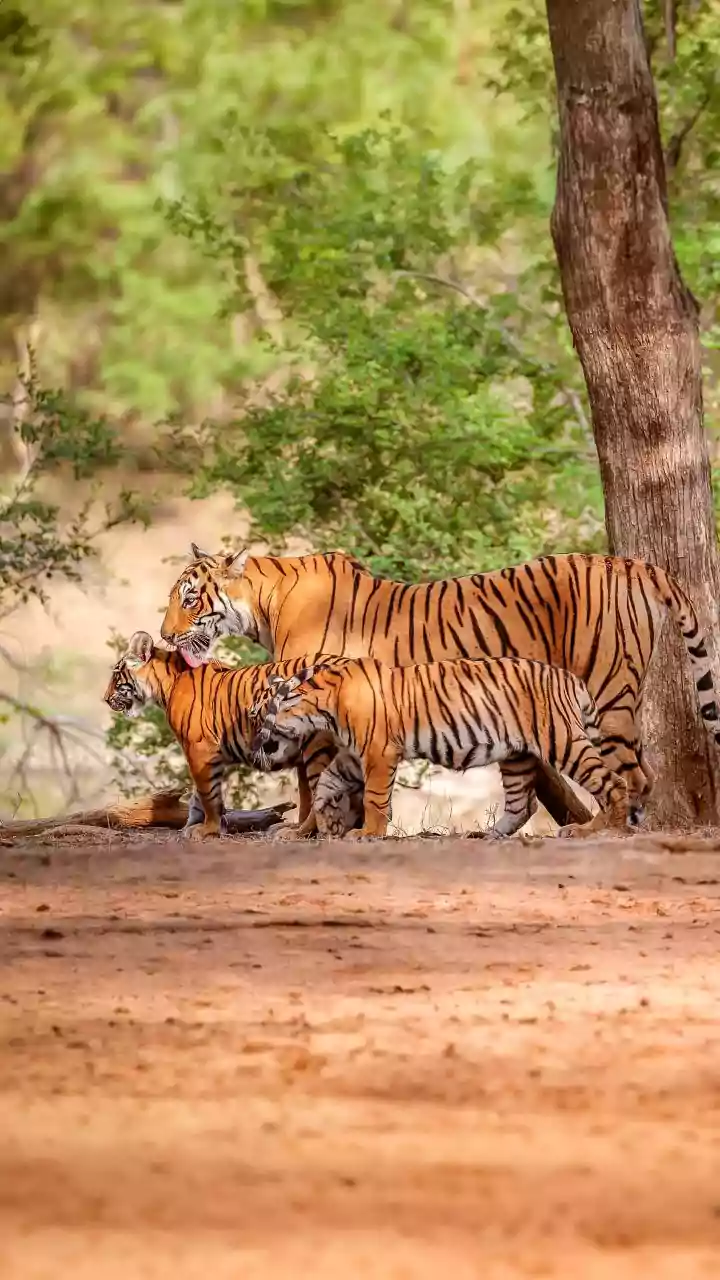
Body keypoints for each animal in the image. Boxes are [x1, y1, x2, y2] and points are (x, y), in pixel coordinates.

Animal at [103, 631, 364, 841]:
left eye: (116, 675)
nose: (105, 699)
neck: (166, 684)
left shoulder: (199, 748)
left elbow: (208, 796)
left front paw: (207, 829)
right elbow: (199, 797)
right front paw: (193, 827)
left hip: (316, 747)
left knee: (322, 794)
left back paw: (298, 832)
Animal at [249, 656, 632, 840]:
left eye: (255, 716)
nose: (254, 749)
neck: (322, 708)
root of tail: (570, 677)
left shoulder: (378, 753)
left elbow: (374, 799)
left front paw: (367, 833)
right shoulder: (351, 757)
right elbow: (324, 788)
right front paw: (312, 828)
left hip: (563, 740)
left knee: (613, 783)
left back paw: (601, 829)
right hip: (516, 755)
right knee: (522, 803)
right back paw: (488, 834)